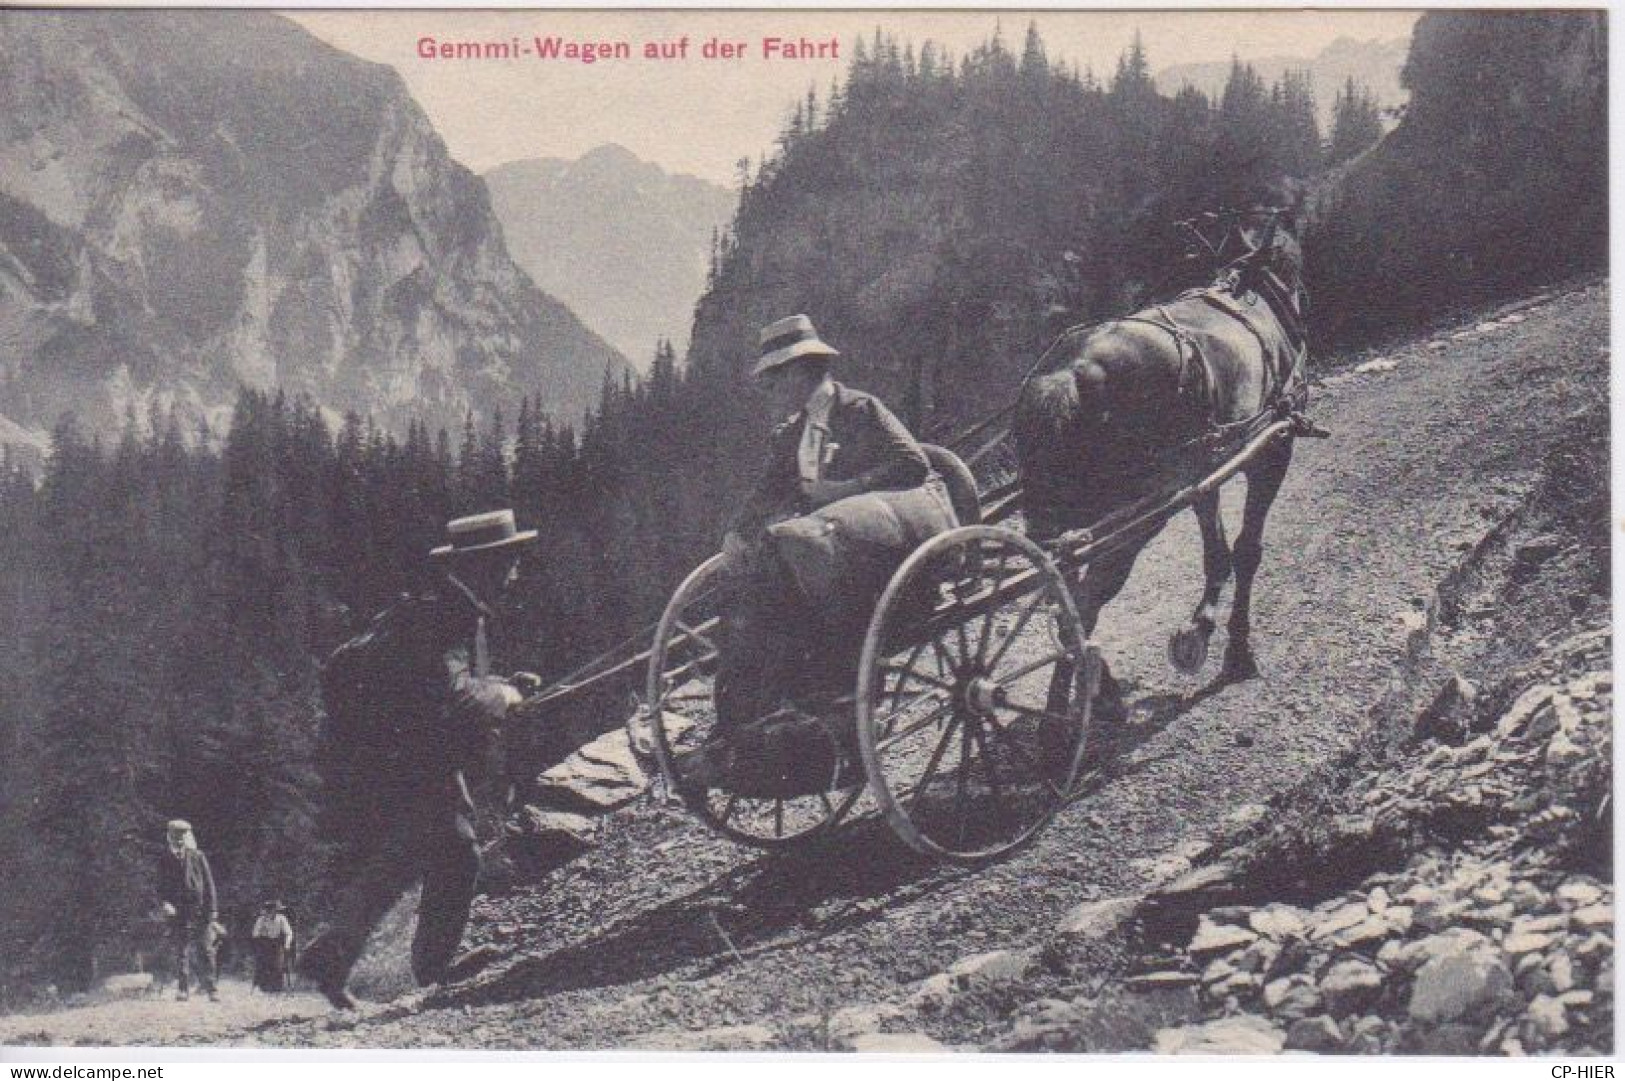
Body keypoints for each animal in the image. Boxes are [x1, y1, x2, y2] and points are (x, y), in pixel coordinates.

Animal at [1007, 211, 1313, 715]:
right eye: (1291, 270)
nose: (1301, 307)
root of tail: (1067, 375)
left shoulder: (1201, 472)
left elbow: (1217, 551)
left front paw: (1199, 629)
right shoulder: (1272, 449)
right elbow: (1247, 550)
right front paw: (1238, 651)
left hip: (1069, 521)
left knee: (1066, 595)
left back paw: (1099, 691)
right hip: (1136, 517)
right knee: (1083, 602)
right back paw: (1064, 713)